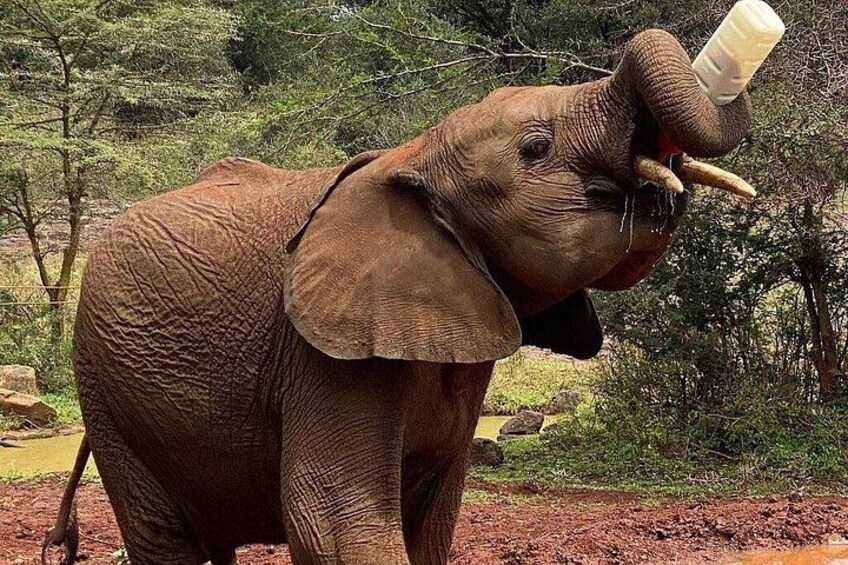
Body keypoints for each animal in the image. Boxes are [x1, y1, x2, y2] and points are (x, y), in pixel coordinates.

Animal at [43, 29, 755, 565]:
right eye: (537, 147)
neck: (415, 153)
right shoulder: (322, 355)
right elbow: (333, 521)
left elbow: (433, 523)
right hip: (103, 382)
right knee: (165, 538)